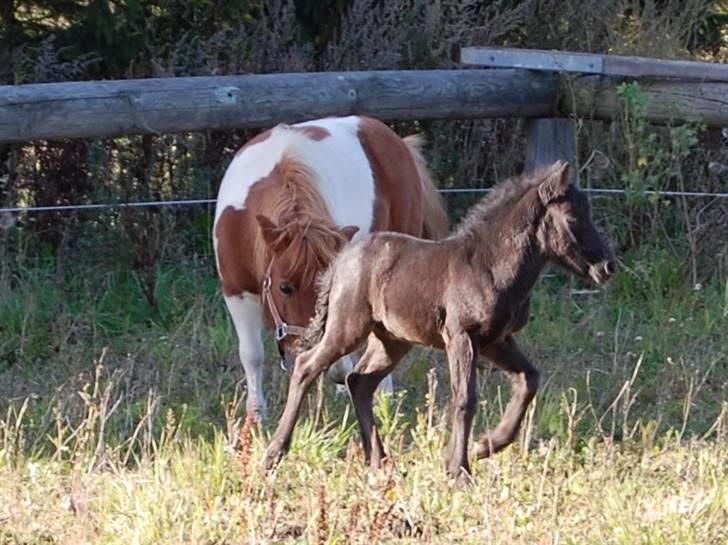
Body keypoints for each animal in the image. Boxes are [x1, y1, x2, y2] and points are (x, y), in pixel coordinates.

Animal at [212, 116, 450, 416]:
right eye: (285, 287)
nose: (308, 344)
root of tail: (394, 139)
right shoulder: (236, 291)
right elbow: (252, 353)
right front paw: (256, 414)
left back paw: (383, 396)